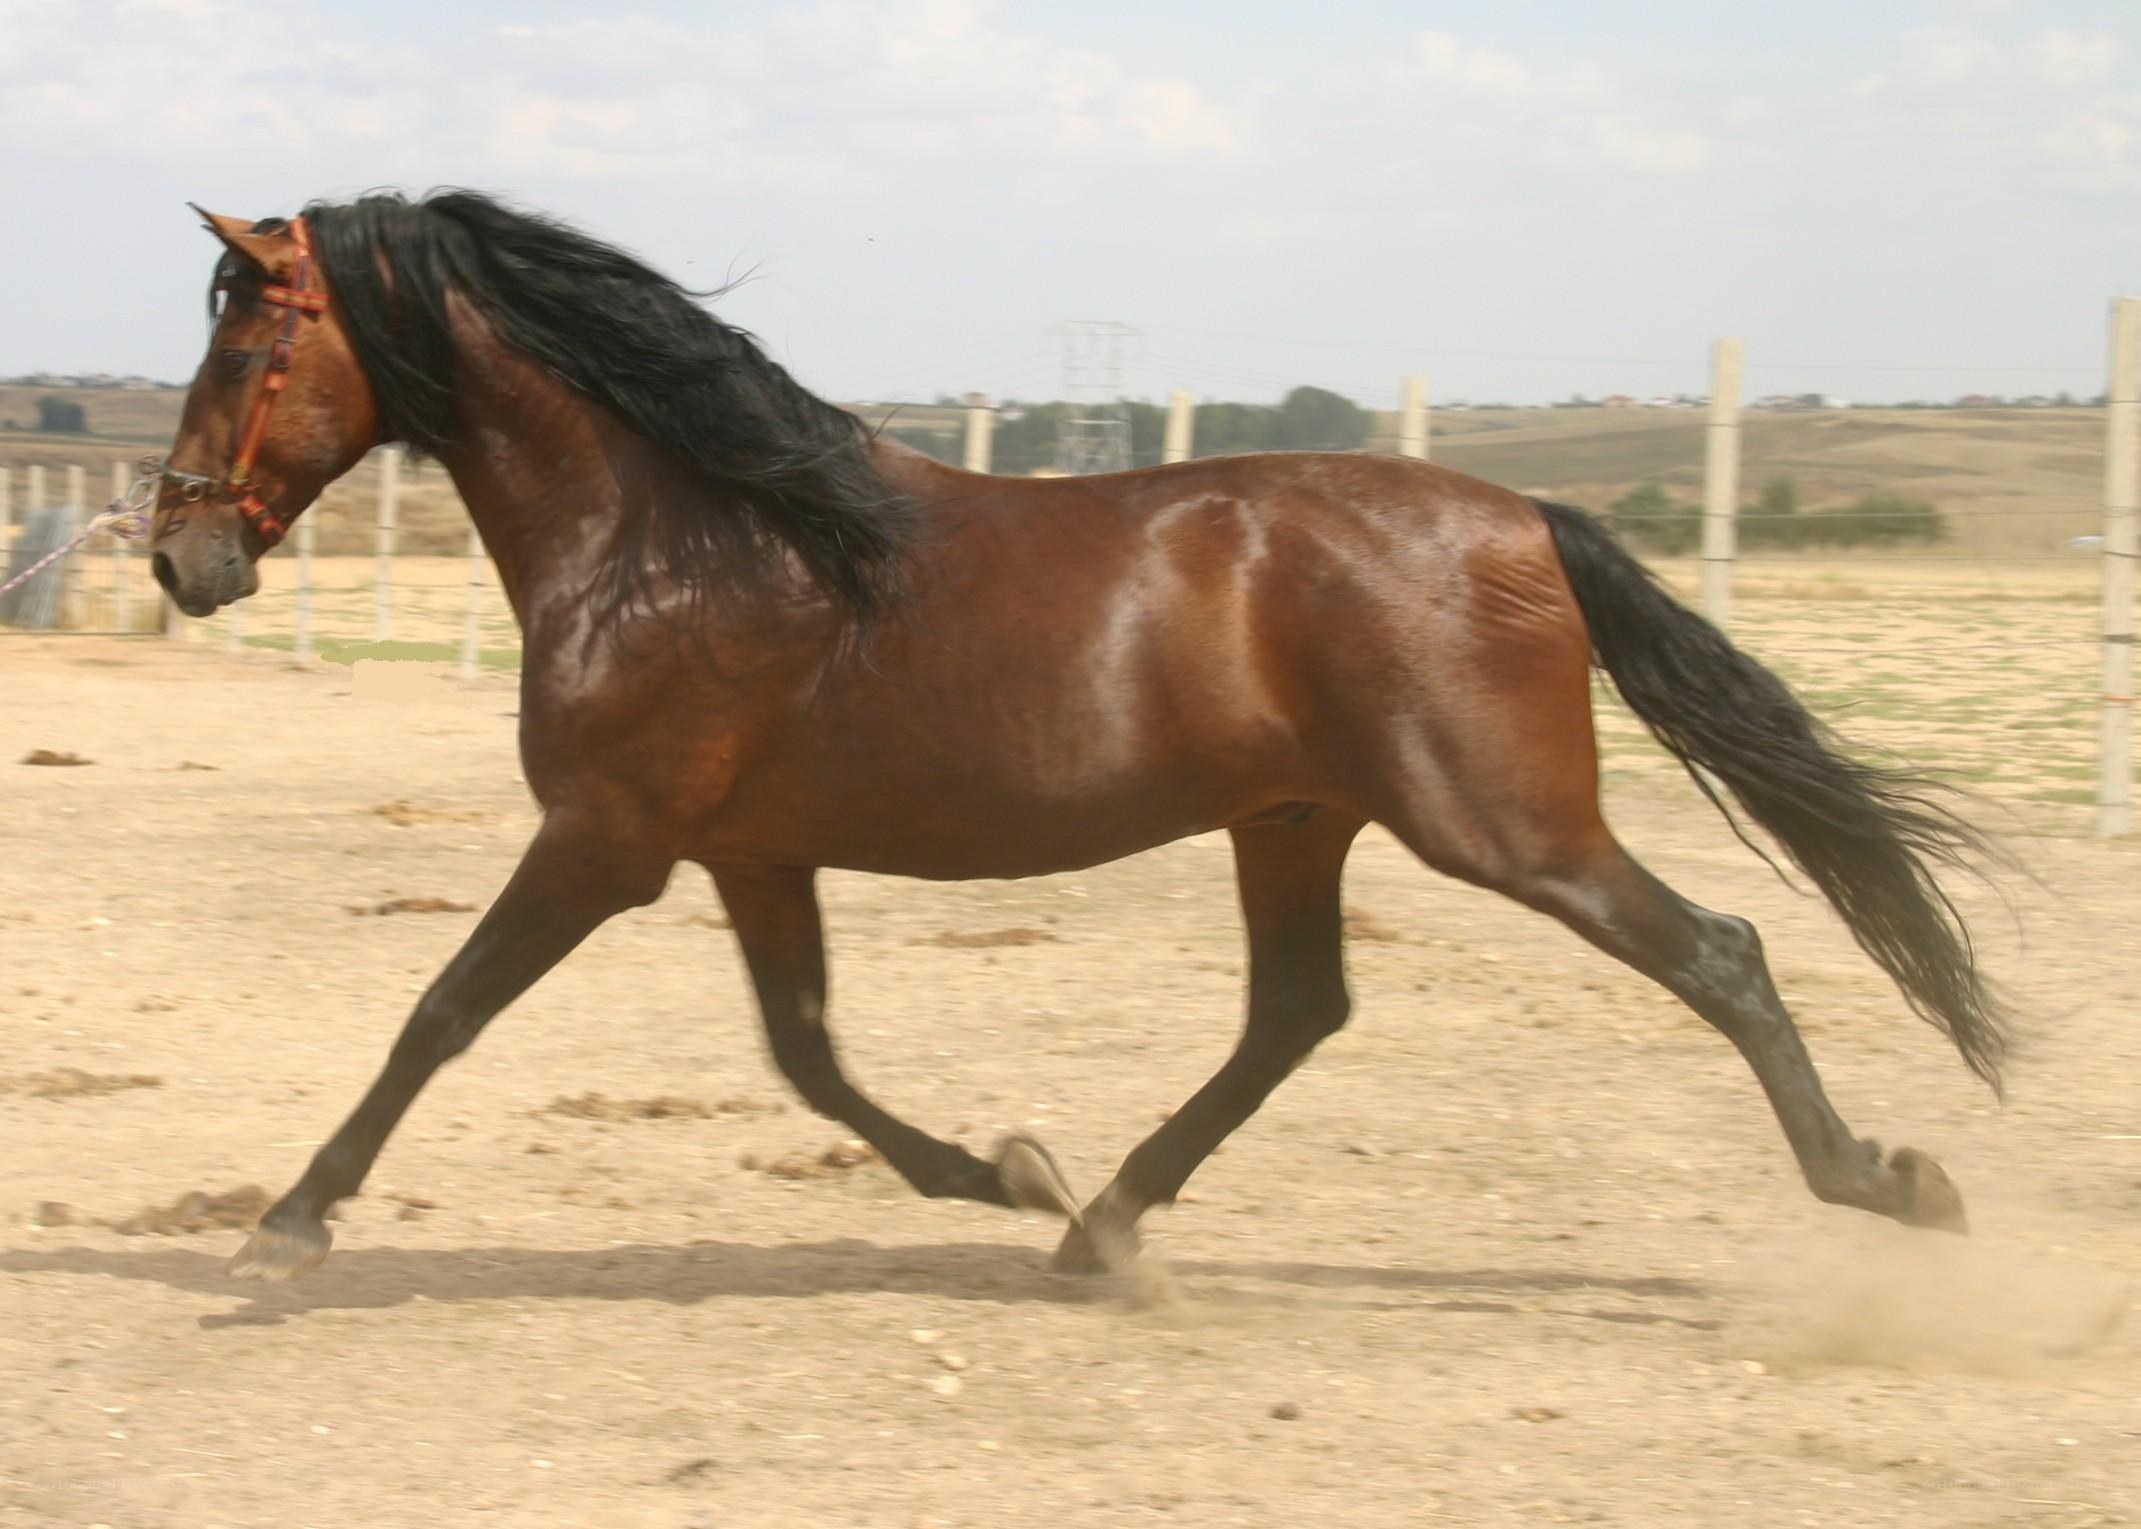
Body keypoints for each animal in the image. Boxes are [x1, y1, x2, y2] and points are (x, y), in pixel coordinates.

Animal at [145, 191, 2007, 1285]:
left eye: (244, 339)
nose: (180, 557)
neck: (680, 532)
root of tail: (1524, 520)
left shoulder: (606, 839)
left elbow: (442, 1009)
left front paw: (288, 1220)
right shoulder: (746, 850)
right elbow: (807, 1052)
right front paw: (1006, 1170)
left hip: (1500, 825)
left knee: (1720, 950)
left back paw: (1891, 1182)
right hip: (1295, 820)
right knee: (1296, 1011)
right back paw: (1101, 1221)